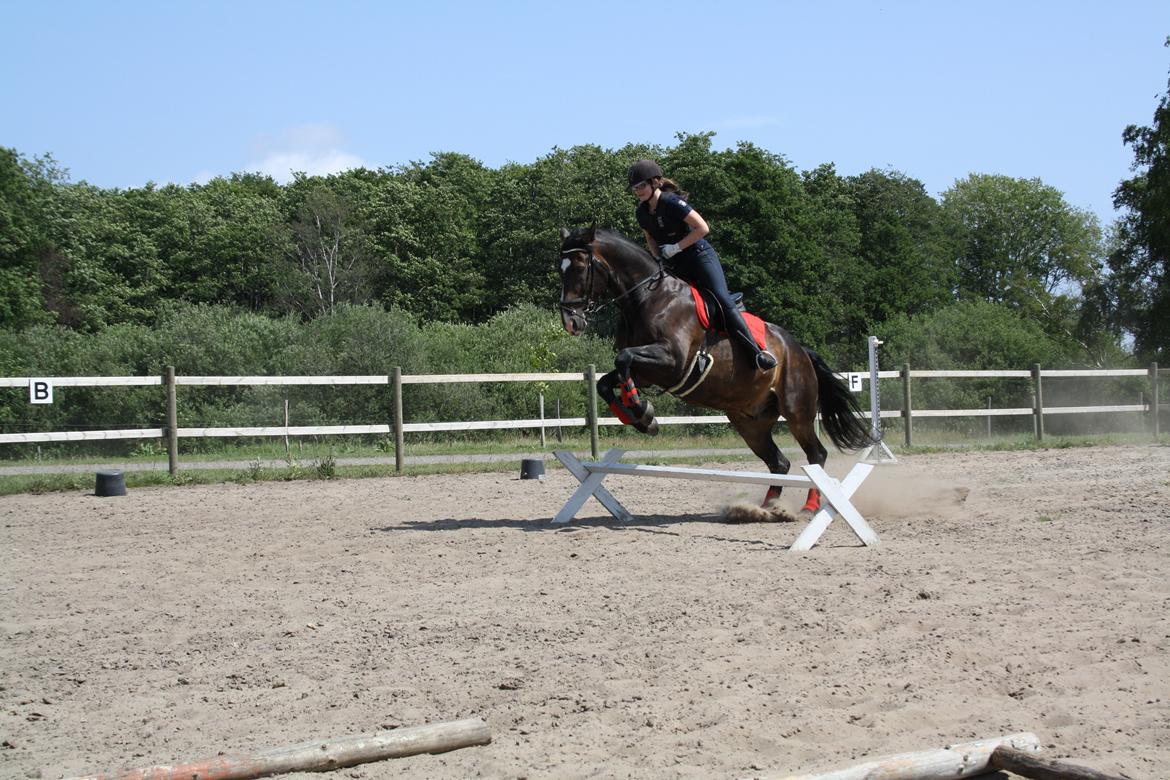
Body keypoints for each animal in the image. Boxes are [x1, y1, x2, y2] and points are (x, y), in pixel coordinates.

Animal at [552, 224, 875, 512]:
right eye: (560, 269)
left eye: (579, 267)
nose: (570, 322)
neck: (647, 298)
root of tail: (800, 350)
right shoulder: (647, 372)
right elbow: (607, 381)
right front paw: (642, 418)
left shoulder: (672, 362)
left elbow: (623, 360)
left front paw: (643, 413)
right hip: (749, 422)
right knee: (779, 462)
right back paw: (767, 509)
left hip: (797, 410)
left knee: (816, 455)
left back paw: (809, 506)